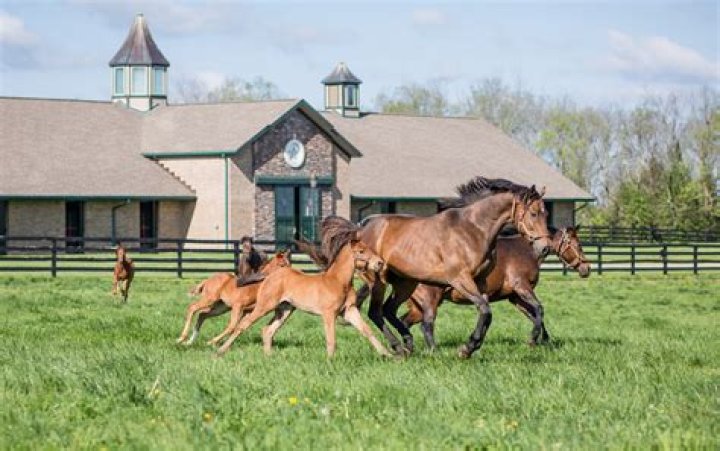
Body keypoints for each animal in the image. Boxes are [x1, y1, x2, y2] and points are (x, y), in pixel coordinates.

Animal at [216, 216, 391, 358]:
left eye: (370, 249)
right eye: (361, 251)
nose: (380, 263)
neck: (338, 281)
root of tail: (269, 275)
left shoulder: (349, 310)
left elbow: (367, 331)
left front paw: (388, 355)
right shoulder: (329, 314)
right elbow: (331, 339)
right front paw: (330, 361)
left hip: (285, 309)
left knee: (267, 330)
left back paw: (269, 357)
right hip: (265, 306)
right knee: (243, 325)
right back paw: (220, 351)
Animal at [358, 176, 553, 359]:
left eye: (546, 214)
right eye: (534, 213)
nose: (545, 247)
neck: (474, 229)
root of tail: (362, 229)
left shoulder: (481, 283)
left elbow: (486, 313)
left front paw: (469, 348)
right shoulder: (461, 279)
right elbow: (486, 310)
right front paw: (467, 348)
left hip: (405, 284)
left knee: (389, 310)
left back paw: (408, 344)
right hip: (382, 282)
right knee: (377, 313)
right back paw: (403, 347)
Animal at [400, 226, 590, 350]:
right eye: (579, 245)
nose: (587, 269)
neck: (529, 251)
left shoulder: (515, 297)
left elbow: (534, 315)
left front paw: (544, 340)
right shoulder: (522, 288)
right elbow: (539, 309)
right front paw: (533, 340)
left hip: (418, 307)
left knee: (404, 321)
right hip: (430, 302)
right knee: (426, 325)